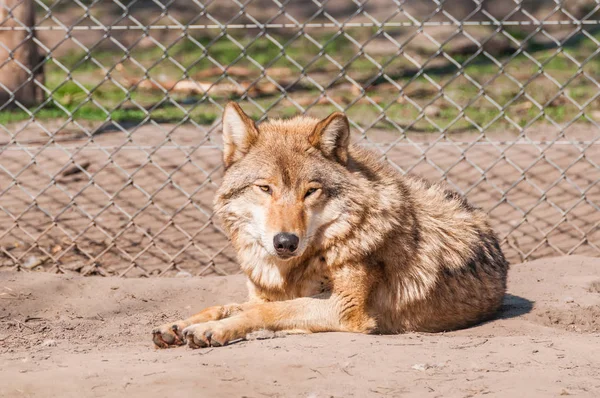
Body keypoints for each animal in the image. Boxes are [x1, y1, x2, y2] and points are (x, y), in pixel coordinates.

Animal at [152, 102, 508, 348]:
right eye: (265, 188)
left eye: (310, 191)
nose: (285, 242)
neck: (294, 269)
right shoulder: (265, 296)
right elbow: (225, 306)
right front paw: (180, 325)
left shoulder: (344, 309)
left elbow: (264, 313)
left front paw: (210, 330)